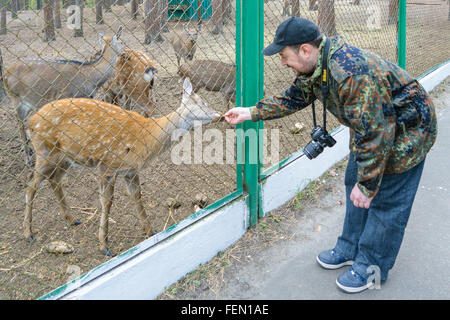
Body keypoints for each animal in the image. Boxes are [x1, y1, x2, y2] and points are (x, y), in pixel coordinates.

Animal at [0, 26, 124, 166]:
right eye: (121, 41)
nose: (124, 53)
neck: (91, 78)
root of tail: (4, 74)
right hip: (16, 99)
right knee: (20, 124)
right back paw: (28, 159)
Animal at [24, 78, 221, 258]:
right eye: (203, 102)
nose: (219, 114)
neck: (146, 139)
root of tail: (31, 122)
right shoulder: (107, 165)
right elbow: (107, 202)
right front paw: (104, 245)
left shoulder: (130, 170)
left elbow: (137, 195)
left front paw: (150, 231)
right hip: (45, 152)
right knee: (31, 186)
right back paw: (29, 233)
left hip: (64, 158)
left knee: (54, 180)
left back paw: (72, 219)